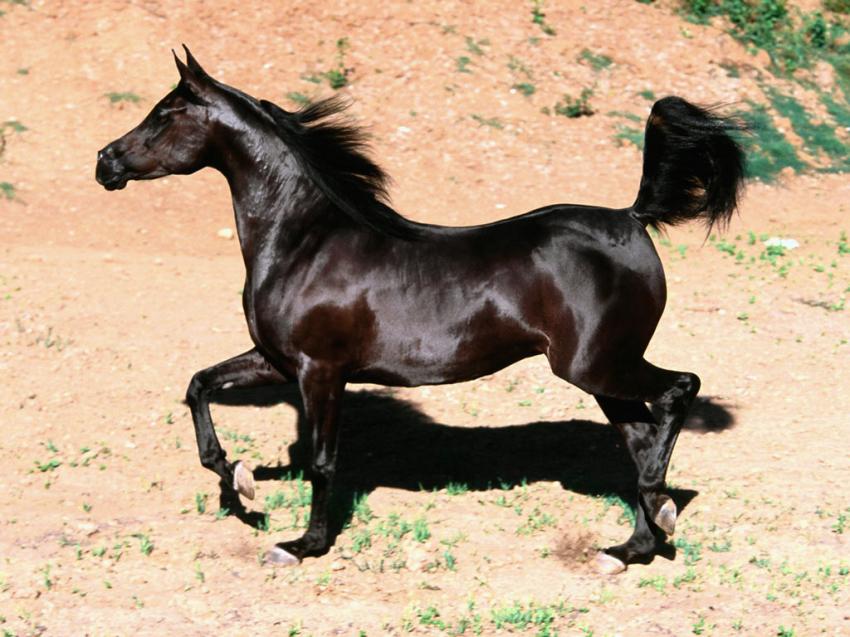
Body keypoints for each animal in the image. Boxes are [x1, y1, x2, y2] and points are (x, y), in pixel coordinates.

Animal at [96, 47, 744, 574]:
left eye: (164, 113)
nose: (105, 162)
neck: (305, 241)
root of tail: (632, 218)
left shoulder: (320, 371)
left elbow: (322, 462)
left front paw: (302, 545)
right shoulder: (276, 360)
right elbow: (199, 385)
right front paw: (240, 482)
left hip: (597, 364)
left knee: (678, 392)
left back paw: (659, 509)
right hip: (601, 373)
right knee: (639, 436)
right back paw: (631, 546)